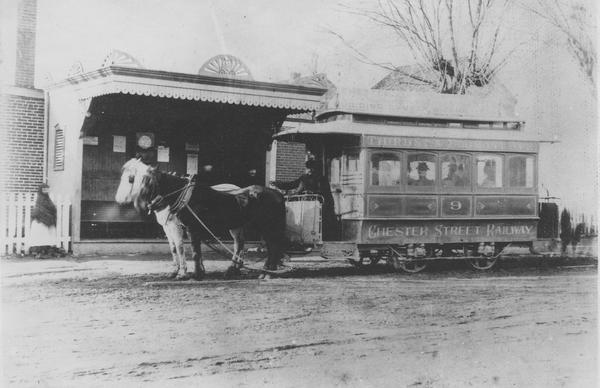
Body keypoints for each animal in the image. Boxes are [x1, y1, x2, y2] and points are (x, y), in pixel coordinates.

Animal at [137, 167, 288, 278]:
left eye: (149, 183)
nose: (144, 205)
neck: (189, 199)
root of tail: (278, 194)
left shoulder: (191, 229)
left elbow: (193, 252)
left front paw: (195, 274)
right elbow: (193, 251)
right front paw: (197, 272)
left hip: (268, 227)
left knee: (273, 247)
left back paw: (267, 273)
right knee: (261, 246)